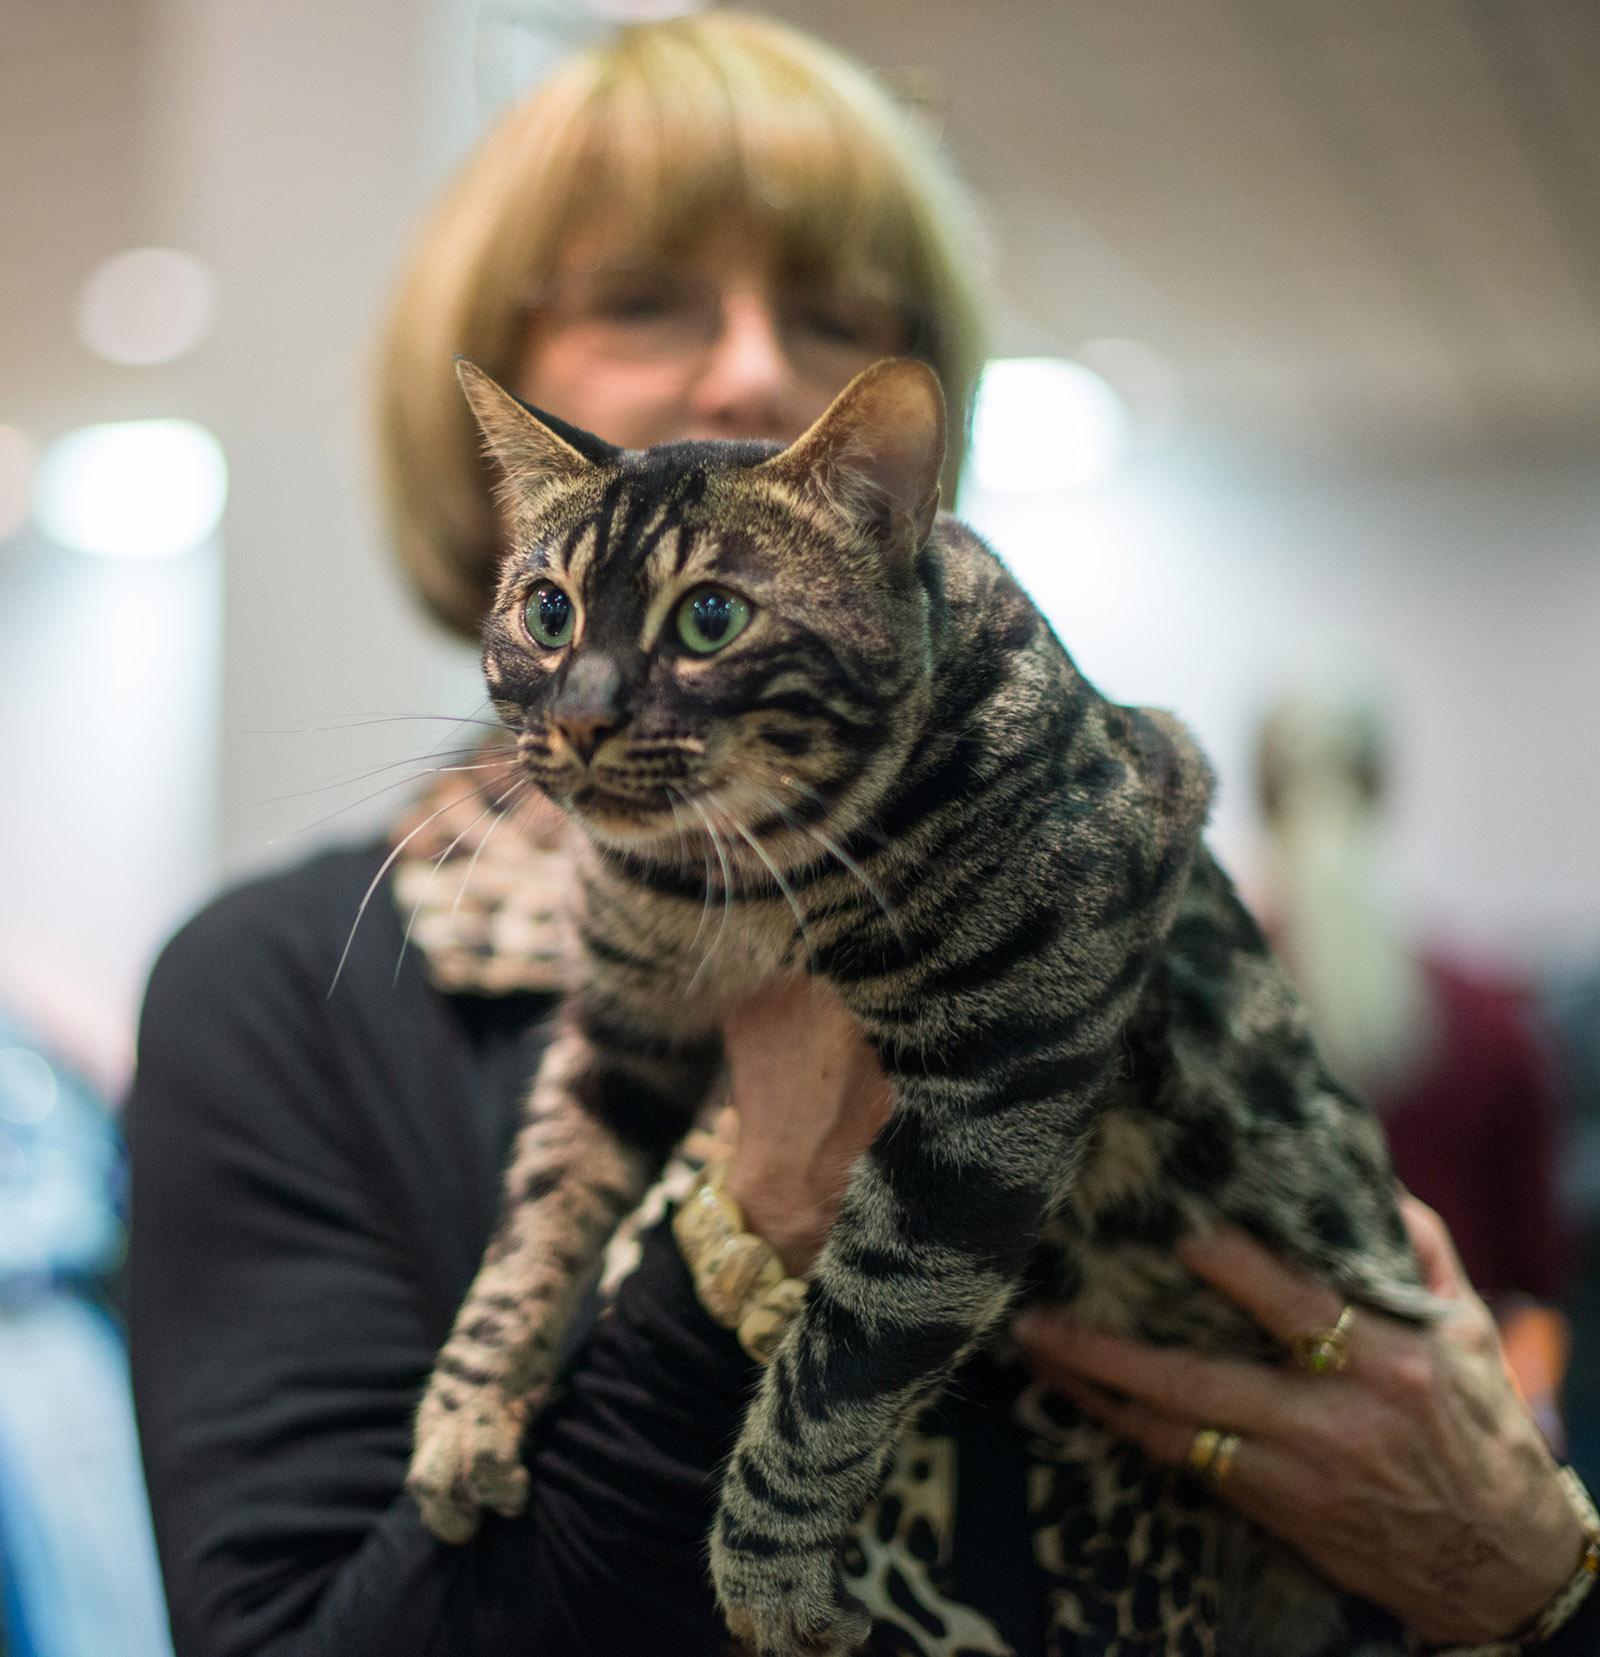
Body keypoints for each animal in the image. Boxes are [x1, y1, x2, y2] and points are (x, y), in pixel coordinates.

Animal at [407, 359, 1431, 1657]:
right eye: (548, 613)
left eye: (709, 619)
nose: (581, 718)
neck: (721, 883)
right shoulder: (623, 1033)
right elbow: (538, 1218)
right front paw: (468, 1417)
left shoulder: (997, 1081)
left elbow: (850, 1347)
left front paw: (770, 1574)